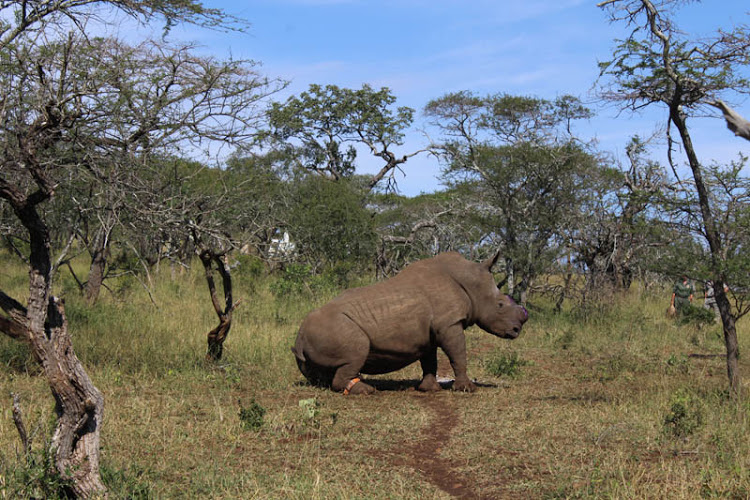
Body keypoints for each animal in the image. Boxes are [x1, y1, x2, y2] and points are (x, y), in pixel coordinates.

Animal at [291, 251, 528, 394]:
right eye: (500, 305)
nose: (517, 329)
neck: (471, 283)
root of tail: (300, 338)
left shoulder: (431, 332)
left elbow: (430, 360)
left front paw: (429, 389)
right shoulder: (449, 323)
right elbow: (458, 354)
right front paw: (467, 389)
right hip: (334, 328)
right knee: (358, 348)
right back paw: (367, 391)